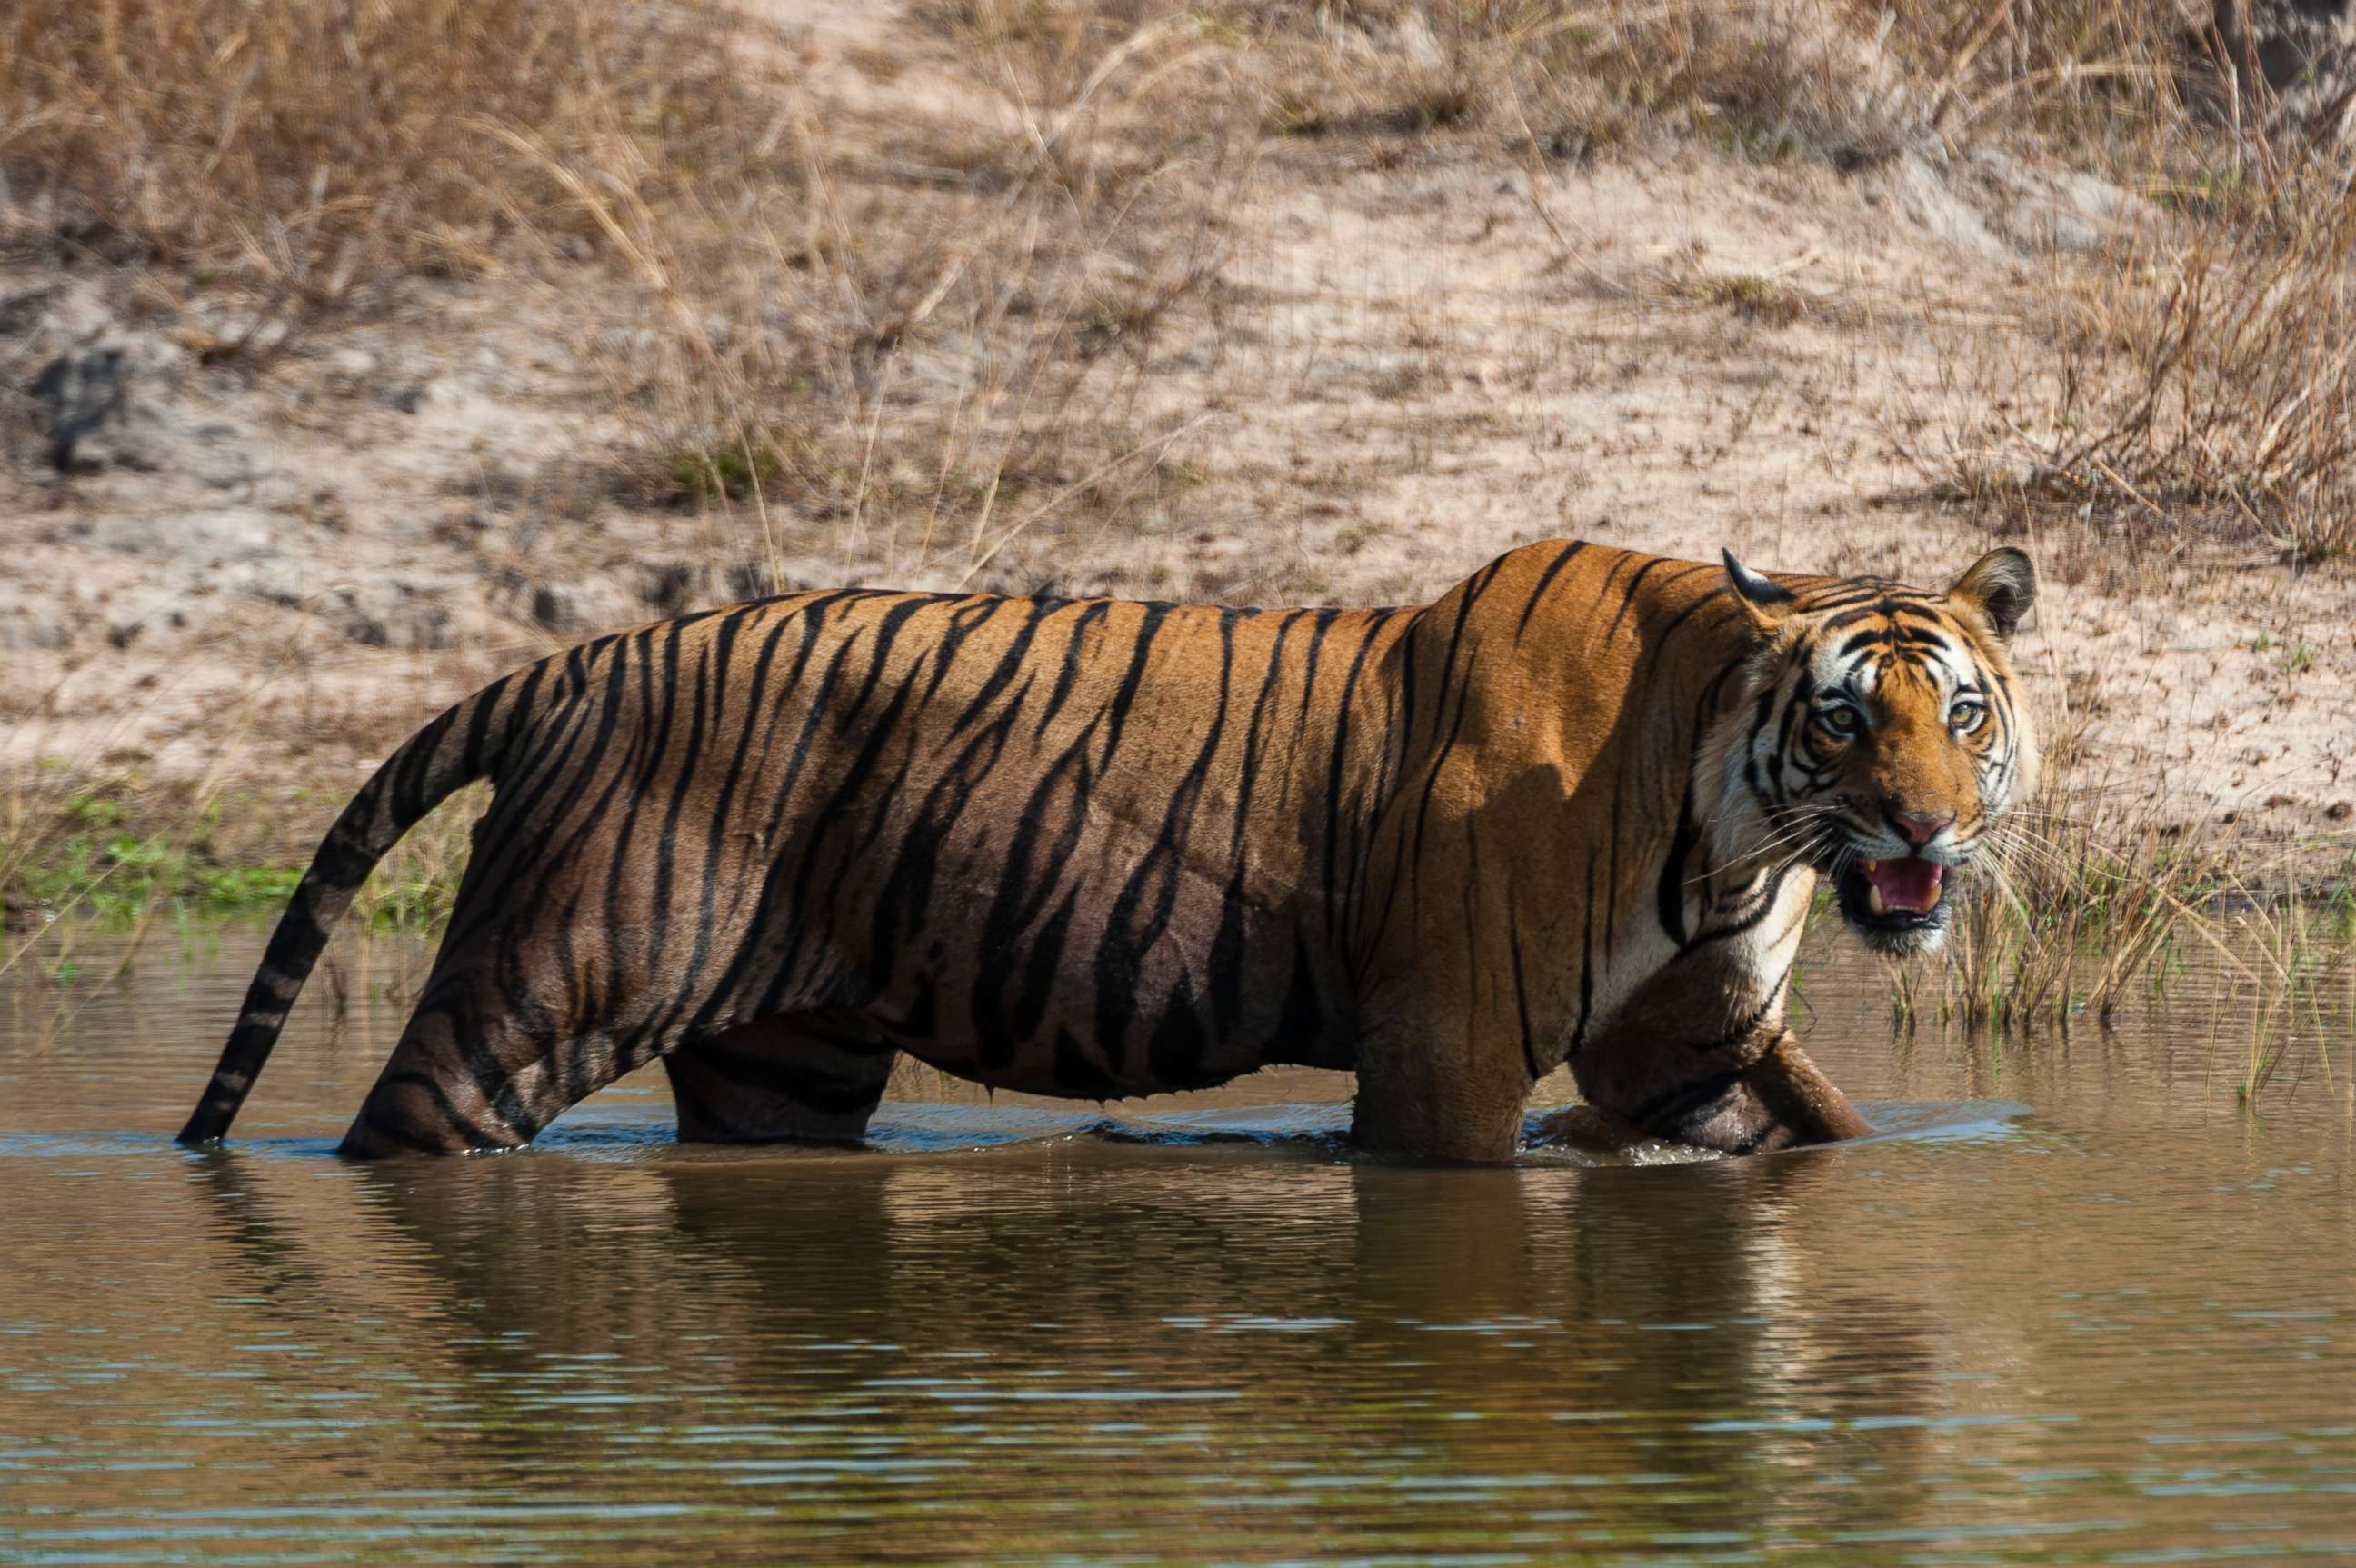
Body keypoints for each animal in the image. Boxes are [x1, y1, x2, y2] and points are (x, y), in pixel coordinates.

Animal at [174, 536, 2035, 1158]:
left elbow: (1786, 1131)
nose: (1929, 830)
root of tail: (582, 659)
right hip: (546, 986)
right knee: (407, 1123)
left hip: (786, 1059)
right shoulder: (1439, 1052)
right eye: (1846, 723)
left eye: (1962, 715)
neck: (1739, 833)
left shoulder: (1686, 1055)